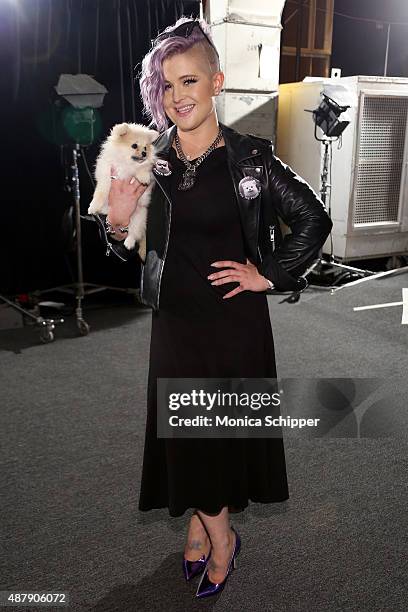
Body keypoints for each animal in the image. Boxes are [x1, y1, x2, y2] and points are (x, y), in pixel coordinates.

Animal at [87, 123, 158, 260]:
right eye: (134, 146)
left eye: (145, 148)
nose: (144, 153)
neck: (126, 163)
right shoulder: (105, 178)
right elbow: (100, 194)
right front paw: (93, 207)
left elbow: (142, 170)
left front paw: (142, 176)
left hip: (139, 218)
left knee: (134, 234)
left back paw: (129, 242)